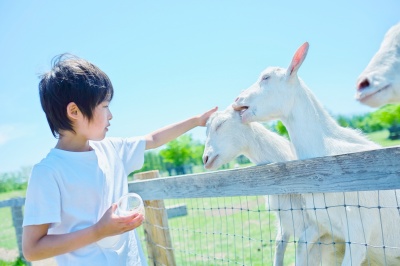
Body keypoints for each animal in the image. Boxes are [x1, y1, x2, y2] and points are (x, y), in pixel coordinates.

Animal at [203, 106, 338, 266]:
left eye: (221, 123)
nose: (205, 159)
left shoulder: (322, 226)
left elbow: (300, 248)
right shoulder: (285, 222)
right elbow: (279, 245)